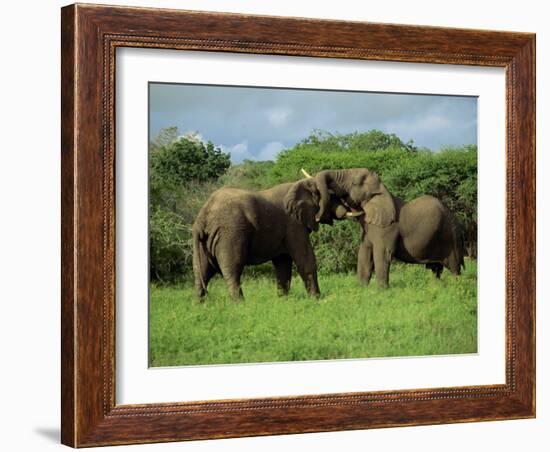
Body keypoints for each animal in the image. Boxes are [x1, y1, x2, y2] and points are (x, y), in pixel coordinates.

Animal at [193, 177, 340, 300]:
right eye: (334, 196)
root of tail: (202, 216)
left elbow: (283, 263)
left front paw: (283, 300)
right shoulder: (294, 224)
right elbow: (305, 259)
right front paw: (316, 299)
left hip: (205, 242)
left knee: (202, 272)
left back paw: (199, 304)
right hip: (230, 233)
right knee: (232, 269)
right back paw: (240, 305)